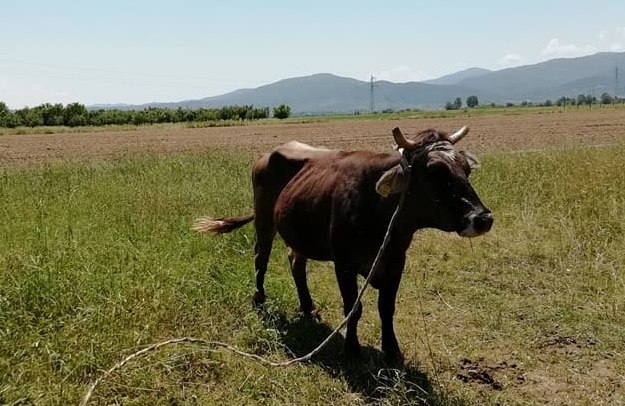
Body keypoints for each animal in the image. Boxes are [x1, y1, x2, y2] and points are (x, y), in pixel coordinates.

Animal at [195, 127, 492, 358]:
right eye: (434, 171)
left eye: (466, 168)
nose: (482, 218)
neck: (380, 211)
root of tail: (269, 153)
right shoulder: (344, 263)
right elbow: (353, 308)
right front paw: (351, 348)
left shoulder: (396, 261)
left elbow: (387, 308)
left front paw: (391, 350)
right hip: (264, 220)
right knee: (261, 257)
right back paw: (259, 298)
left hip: (298, 233)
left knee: (296, 264)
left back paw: (308, 306)